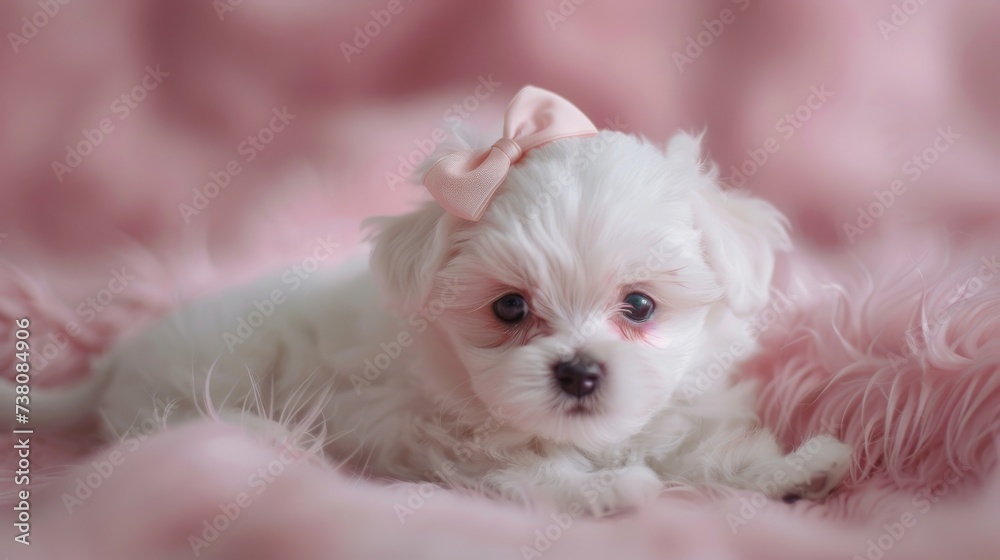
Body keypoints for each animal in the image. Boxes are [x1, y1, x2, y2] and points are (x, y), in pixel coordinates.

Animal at [7, 89, 852, 516]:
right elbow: (537, 475)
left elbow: (707, 447)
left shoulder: (680, 405)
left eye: (639, 306)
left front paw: (800, 468)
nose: (579, 372)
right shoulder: (455, 446)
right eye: (509, 309)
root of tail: (117, 361)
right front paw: (616, 488)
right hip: (192, 385)